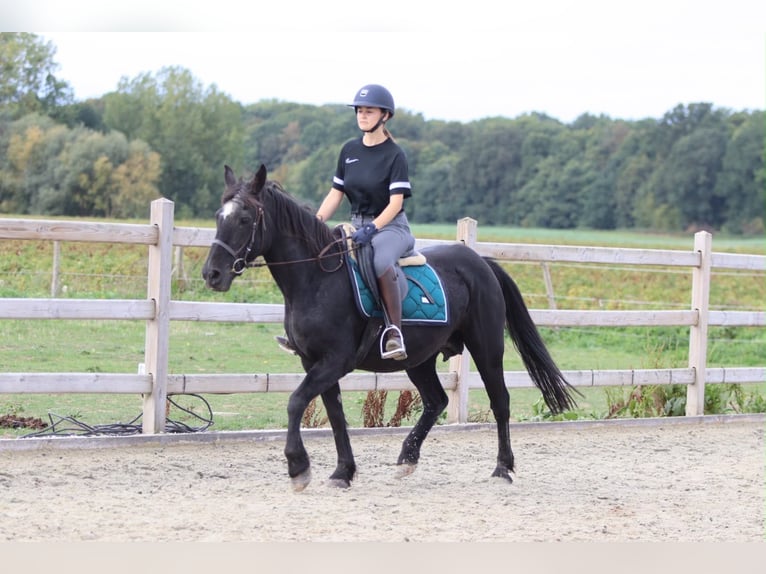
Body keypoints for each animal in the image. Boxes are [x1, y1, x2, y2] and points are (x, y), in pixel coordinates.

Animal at [202, 164, 579, 491]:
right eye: (219, 217)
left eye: (245, 219)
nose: (212, 274)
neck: (317, 278)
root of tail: (481, 263)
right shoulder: (314, 362)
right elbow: (335, 414)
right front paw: (342, 472)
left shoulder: (334, 361)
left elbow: (296, 402)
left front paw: (299, 468)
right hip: (419, 359)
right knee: (437, 400)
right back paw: (407, 458)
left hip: (486, 347)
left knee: (500, 401)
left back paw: (502, 468)